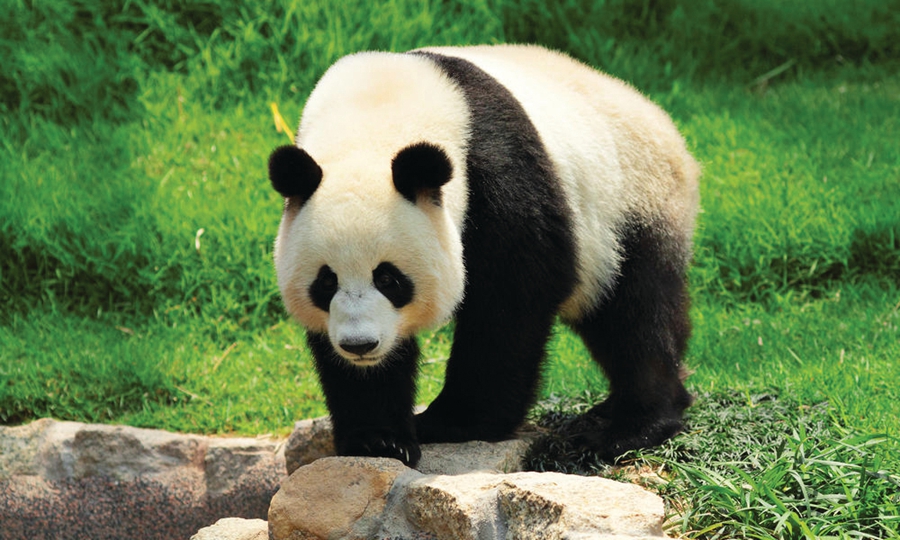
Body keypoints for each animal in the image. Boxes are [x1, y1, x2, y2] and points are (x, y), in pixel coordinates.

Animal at [268, 44, 700, 467]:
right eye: (326, 282)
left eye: (388, 278)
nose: (359, 345)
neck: (374, 114)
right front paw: (379, 439)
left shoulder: (497, 173)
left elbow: (511, 297)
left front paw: (454, 422)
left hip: (630, 204)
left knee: (635, 314)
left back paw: (626, 428)